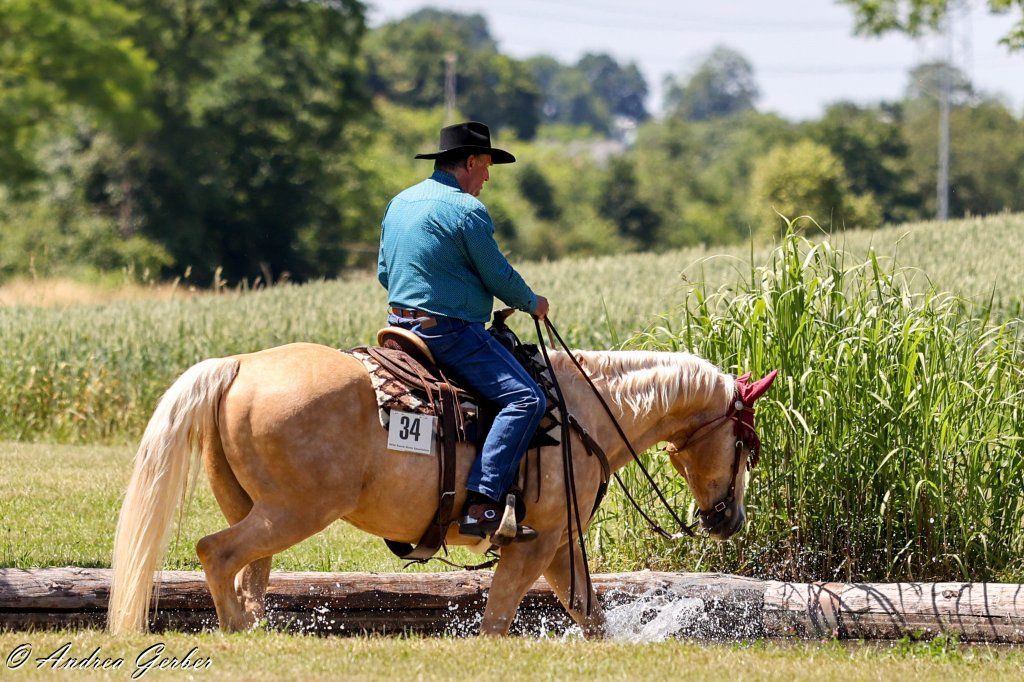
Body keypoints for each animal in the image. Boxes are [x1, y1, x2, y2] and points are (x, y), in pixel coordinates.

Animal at [106, 340, 774, 636]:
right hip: (293, 512)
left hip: (256, 508)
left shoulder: (559, 545)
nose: (729, 519)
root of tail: (239, 364)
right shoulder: (535, 542)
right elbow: (499, 618)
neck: (586, 410)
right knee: (215, 553)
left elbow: (590, 611)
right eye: (748, 444)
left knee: (248, 574)